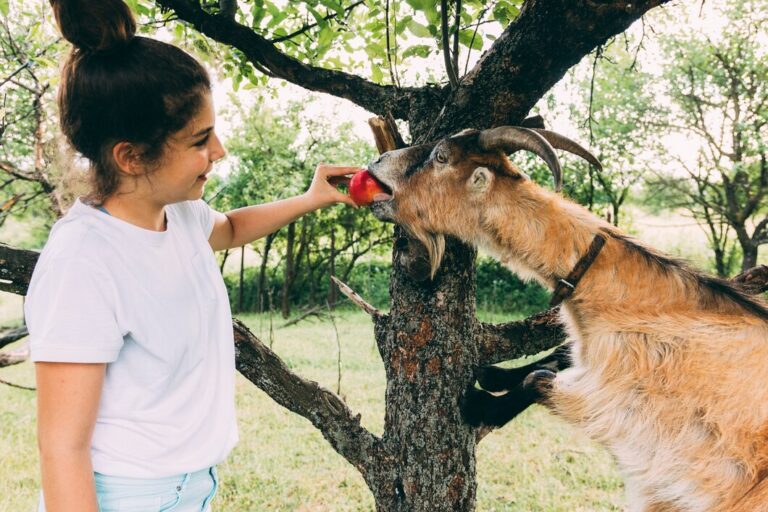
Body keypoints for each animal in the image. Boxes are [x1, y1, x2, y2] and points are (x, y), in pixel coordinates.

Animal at [364, 128, 768, 512]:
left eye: (441, 157)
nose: (378, 160)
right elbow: (559, 354)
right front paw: (494, 374)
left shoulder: (623, 406)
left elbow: (539, 379)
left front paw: (478, 402)